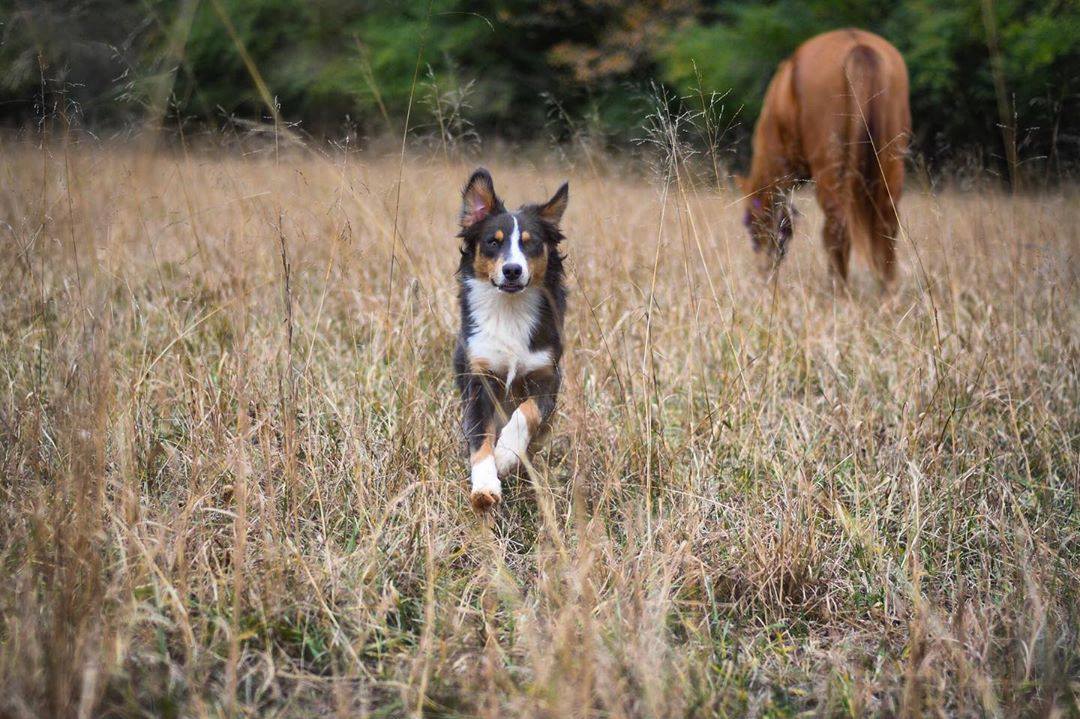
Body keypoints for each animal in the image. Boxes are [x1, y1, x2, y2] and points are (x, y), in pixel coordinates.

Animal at [453, 168, 569, 511]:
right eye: (494, 242)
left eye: (531, 245)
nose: (513, 270)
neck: (510, 309)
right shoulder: (479, 378)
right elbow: (480, 437)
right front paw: (485, 485)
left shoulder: (547, 375)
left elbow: (526, 414)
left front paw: (505, 455)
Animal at [738, 29, 911, 287]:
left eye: (749, 223)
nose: (763, 270)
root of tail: (858, 46)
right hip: (891, 163)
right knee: (886, 225)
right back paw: (886, 290)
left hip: (830, 169)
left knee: (837, 229)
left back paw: (837, 288)